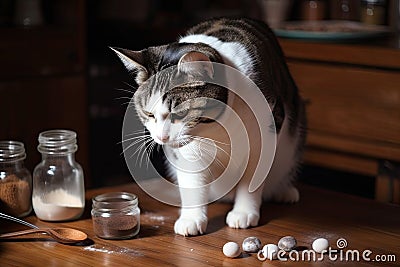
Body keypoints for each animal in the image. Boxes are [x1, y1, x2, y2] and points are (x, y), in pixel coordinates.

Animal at [111, 17, 306, 237]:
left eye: (180, 114)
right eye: (149, 114)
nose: (162, 138)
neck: (216, 127)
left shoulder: (266, 131)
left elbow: (252, 179)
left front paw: (244, 213)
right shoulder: (187, 151)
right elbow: (192, 180)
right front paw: (191, 218)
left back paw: (284, 191)